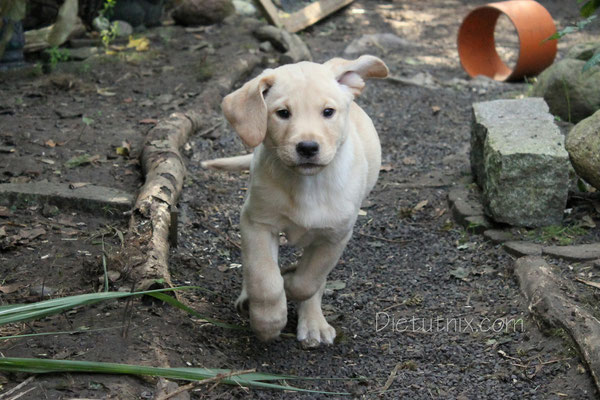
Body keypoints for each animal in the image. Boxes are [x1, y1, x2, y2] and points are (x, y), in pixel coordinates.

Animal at [202, 56, 390, 346]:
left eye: (328, 112)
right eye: (282, 113)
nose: (308, 147)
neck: (307, 185)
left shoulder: (335, 237)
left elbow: (309, 280)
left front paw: (290, 286)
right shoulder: (257, 223)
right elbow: (264, 277)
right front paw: (268, 320)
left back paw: (314, 324)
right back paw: (250, 299)